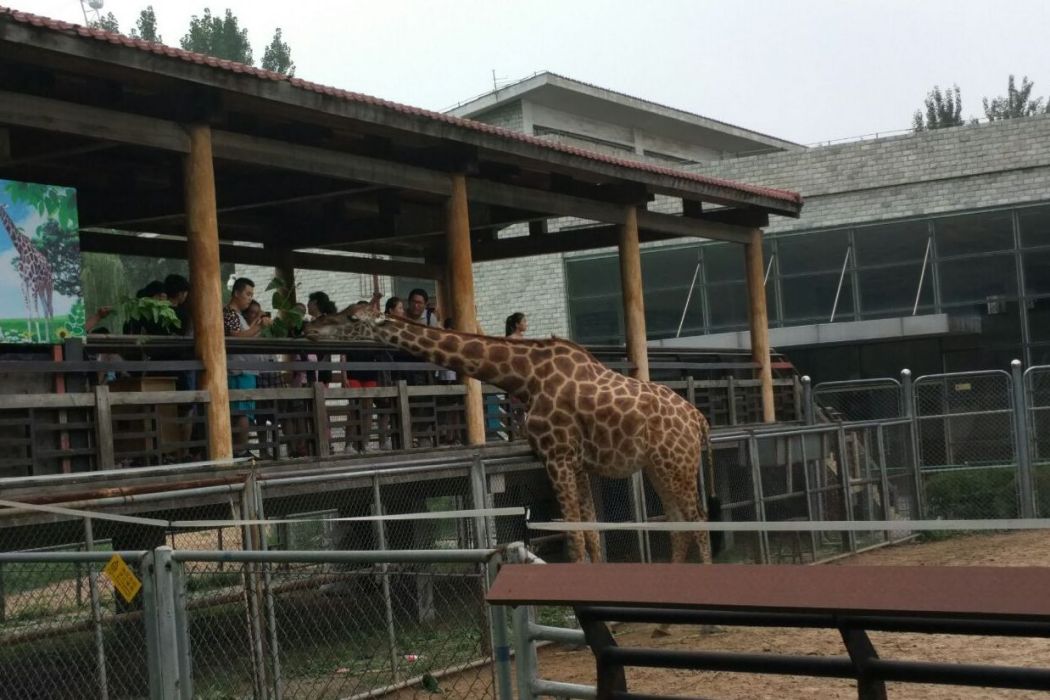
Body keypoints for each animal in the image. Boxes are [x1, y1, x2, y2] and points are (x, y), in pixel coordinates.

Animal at [0, 203, 54, 340]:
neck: (21, 251)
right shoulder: (24, 283)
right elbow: (29, 314)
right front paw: (30, 339)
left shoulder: (33, 282)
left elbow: (36, 314)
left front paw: (39, 340)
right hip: (40, 288)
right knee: (46, 310)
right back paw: (48, 338)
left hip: (49, 285)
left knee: (50, 309)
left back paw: (55, 337)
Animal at [304, 304, 713, 566]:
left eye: (352, 317)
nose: (310, 328)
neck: (526, 377)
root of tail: (698, 419)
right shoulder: (575, 462)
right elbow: (591, 532)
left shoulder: (556, 456)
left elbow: (576, 537)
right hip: (659, 466)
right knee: (679, 522)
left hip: (677, 464)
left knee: (699, 519)